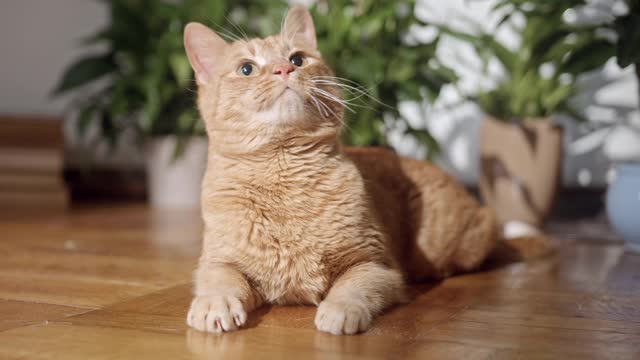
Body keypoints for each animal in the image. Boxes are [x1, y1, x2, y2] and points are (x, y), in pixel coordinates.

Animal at [182, 5, 548, 336]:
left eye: (298, 59)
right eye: (246, 68)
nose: (284, 69)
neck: (283, 174)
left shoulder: (374, 265)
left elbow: (351, 289)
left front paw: (340, 311)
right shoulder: (217, 261)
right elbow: (220, 280)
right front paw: (214, 305)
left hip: (452, 241)